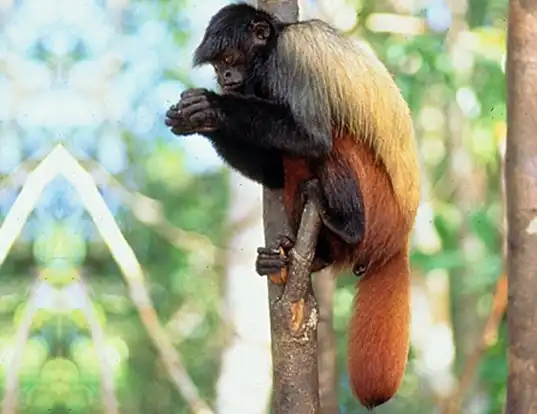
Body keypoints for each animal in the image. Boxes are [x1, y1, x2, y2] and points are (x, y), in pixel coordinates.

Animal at [163, 4, 418, 410]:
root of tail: (401, 237)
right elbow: (273, 171)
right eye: (218, 65)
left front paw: (212, 108)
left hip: (382, 208)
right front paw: (195, 119)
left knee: (331, 141)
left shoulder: (292, 56)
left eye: (230, 59)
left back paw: (347, 226)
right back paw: (305, 258)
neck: (270, 52)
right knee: (292, 163)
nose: (225, 77)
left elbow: (311, 137)